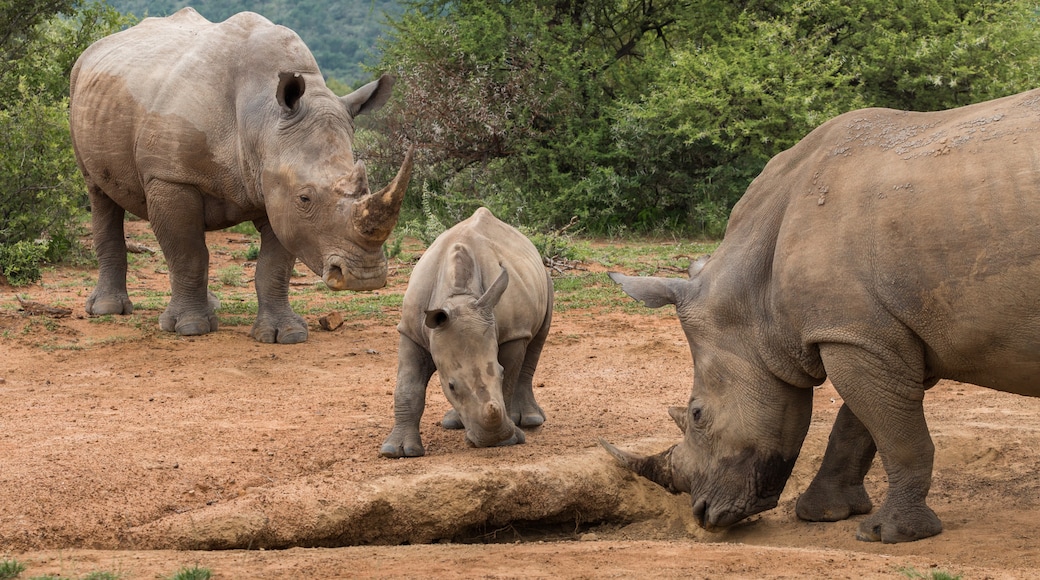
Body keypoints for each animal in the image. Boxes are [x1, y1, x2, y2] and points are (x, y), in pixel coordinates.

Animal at [380, 206, 553, 457]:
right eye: (451, 386)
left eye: (500, 373)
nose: (492, 440)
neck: (458, 298)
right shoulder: (411, 333)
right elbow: (407, 386)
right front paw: (397, 451)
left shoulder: (514, 333)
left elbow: (509, 381)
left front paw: (508, 438)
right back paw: (453, 423)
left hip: (546, 280)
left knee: (536, 343)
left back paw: (530, 421)